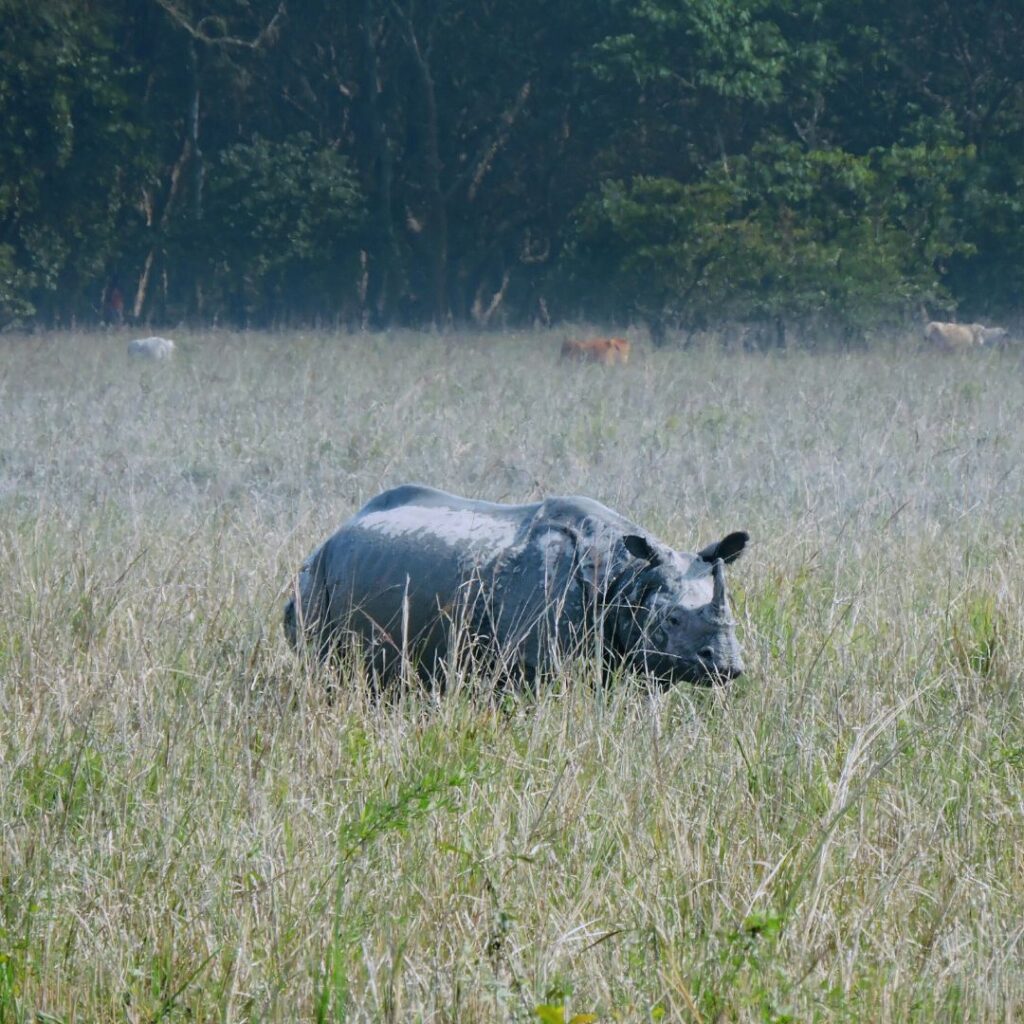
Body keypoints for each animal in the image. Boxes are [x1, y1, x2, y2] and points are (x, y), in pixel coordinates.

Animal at [284, 485, 749, 688]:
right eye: (672, 620)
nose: (726, 665)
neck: (629, 572)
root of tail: (332, 535)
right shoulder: (534, 661)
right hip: (314, 579)